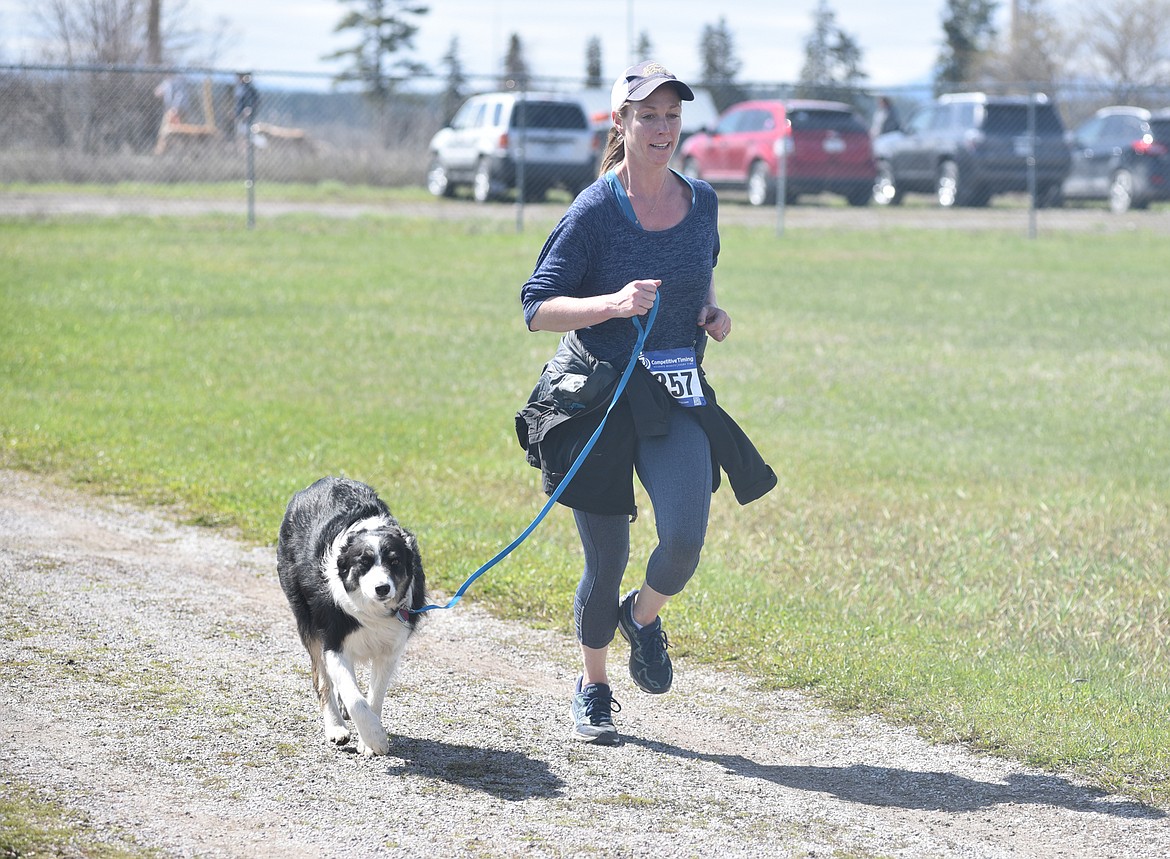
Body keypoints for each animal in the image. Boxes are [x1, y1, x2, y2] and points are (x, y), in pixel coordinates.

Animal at [276, 482, 428, 758]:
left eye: (395, 561)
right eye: (364, 563)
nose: (382, 588)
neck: (373, 610)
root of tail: (320, 482)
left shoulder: (390, 647)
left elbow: (374, 696)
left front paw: (368, 740)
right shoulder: (333, 640)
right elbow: (354, 696)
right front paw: (375, 738)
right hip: (306, 619)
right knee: (323, 681)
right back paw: (336, 727)